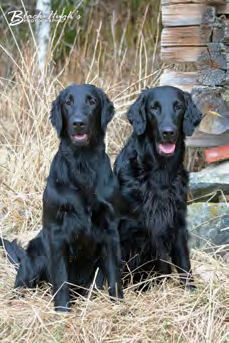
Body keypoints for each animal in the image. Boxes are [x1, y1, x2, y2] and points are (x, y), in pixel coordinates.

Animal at [0, 84, 123, 312]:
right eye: (68, 102)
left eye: (92, 101)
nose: (78, 123)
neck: (82, 166)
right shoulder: (56, 233)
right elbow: (61, 279)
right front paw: (63, 312)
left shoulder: (110, 230)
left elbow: (114, 276)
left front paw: (119, 306)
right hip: (35, 256)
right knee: (22, 283)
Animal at [115, 86, 201, 290]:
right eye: (154, 108)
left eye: (178, 107)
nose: (168, 132)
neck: (159, 171)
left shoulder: (177, 220)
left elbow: (184, 262)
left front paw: (190, 290)